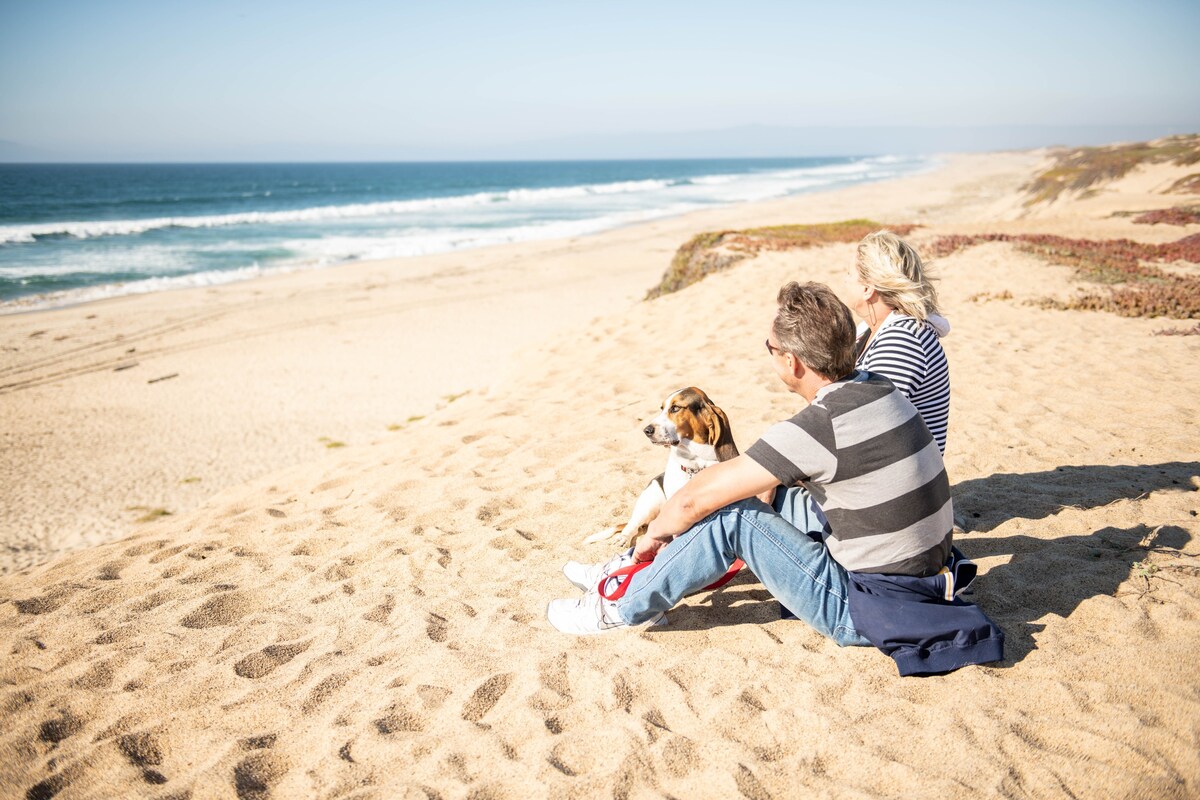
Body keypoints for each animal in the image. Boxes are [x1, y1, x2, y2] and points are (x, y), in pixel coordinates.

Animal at [583, 388, 739, 551]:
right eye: (661, 408)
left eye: (675, 408)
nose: (647, 430)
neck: (695, 466)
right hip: (648, 503)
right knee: (633, 525)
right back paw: (624, 538)